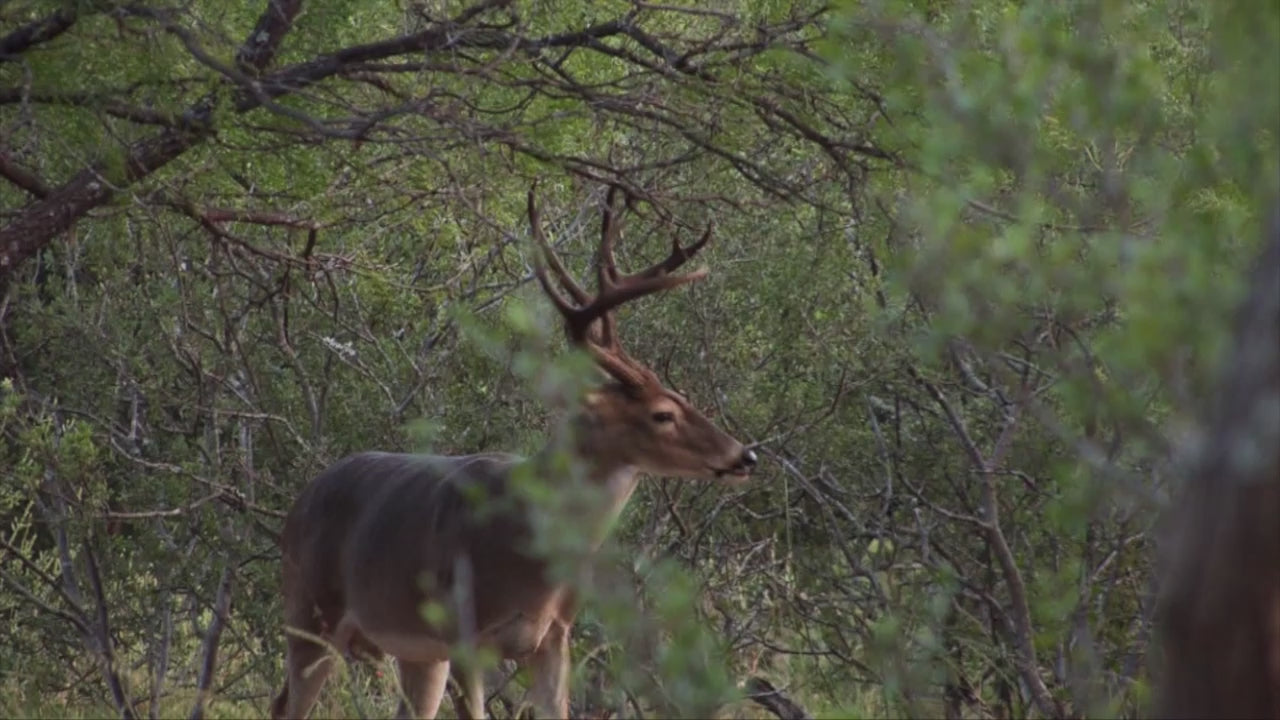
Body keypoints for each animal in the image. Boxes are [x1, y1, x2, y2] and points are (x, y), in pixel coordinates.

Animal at [270, 185, 757, 720]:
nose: (744, 456)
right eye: (662, 414)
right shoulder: (465, 631)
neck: (526, 545)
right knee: (286, 704)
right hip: (310, 613)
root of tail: (299, 502)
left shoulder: (554, 636)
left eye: (682, 395)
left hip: (416, 652)